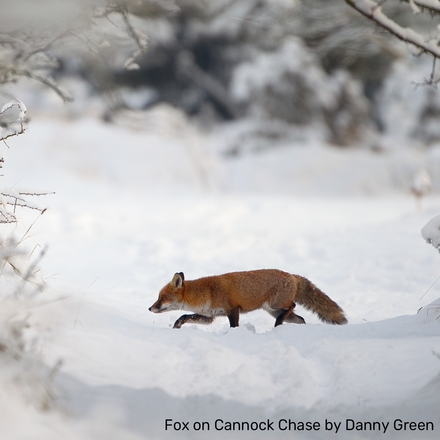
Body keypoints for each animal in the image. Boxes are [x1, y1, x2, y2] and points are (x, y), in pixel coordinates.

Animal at [150, 268, 348, 330]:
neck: (205, 292)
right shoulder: (209, 316)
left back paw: (278, 323)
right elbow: (185, 316)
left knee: (292, 305)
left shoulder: (233, 309)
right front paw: (177, 325)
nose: (150, 309)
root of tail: (292, 276)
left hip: (274, 304)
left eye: (161, 297)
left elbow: (234, 326)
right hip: (274, 309)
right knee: (300, 318)